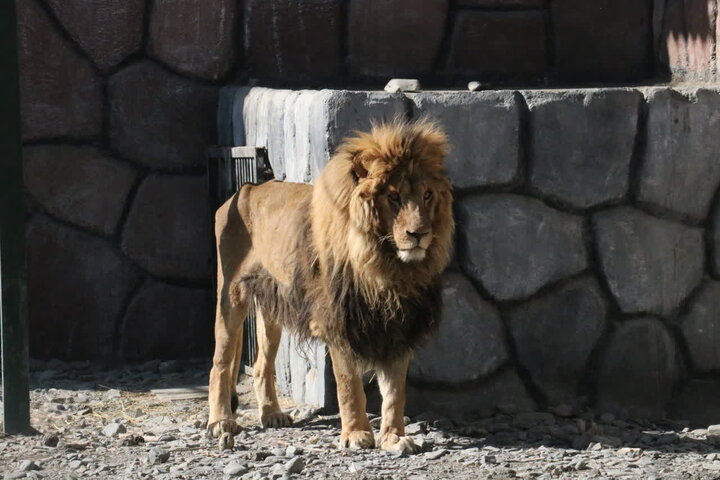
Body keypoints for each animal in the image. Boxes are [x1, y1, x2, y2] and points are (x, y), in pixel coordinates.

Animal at [208, 117, 452, 454]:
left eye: (427, 195)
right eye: (393, 197)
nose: (419, 234)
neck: (386, 267)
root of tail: (246, 188)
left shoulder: (399, 324)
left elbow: (395, 392)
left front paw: (394, 438)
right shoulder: (339, 322)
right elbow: (349, 385)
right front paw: (356, 434)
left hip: (272, 306)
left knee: (261, 364)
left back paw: (271, 414)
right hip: (229, 295)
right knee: (220, 362)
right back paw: (220, 422)